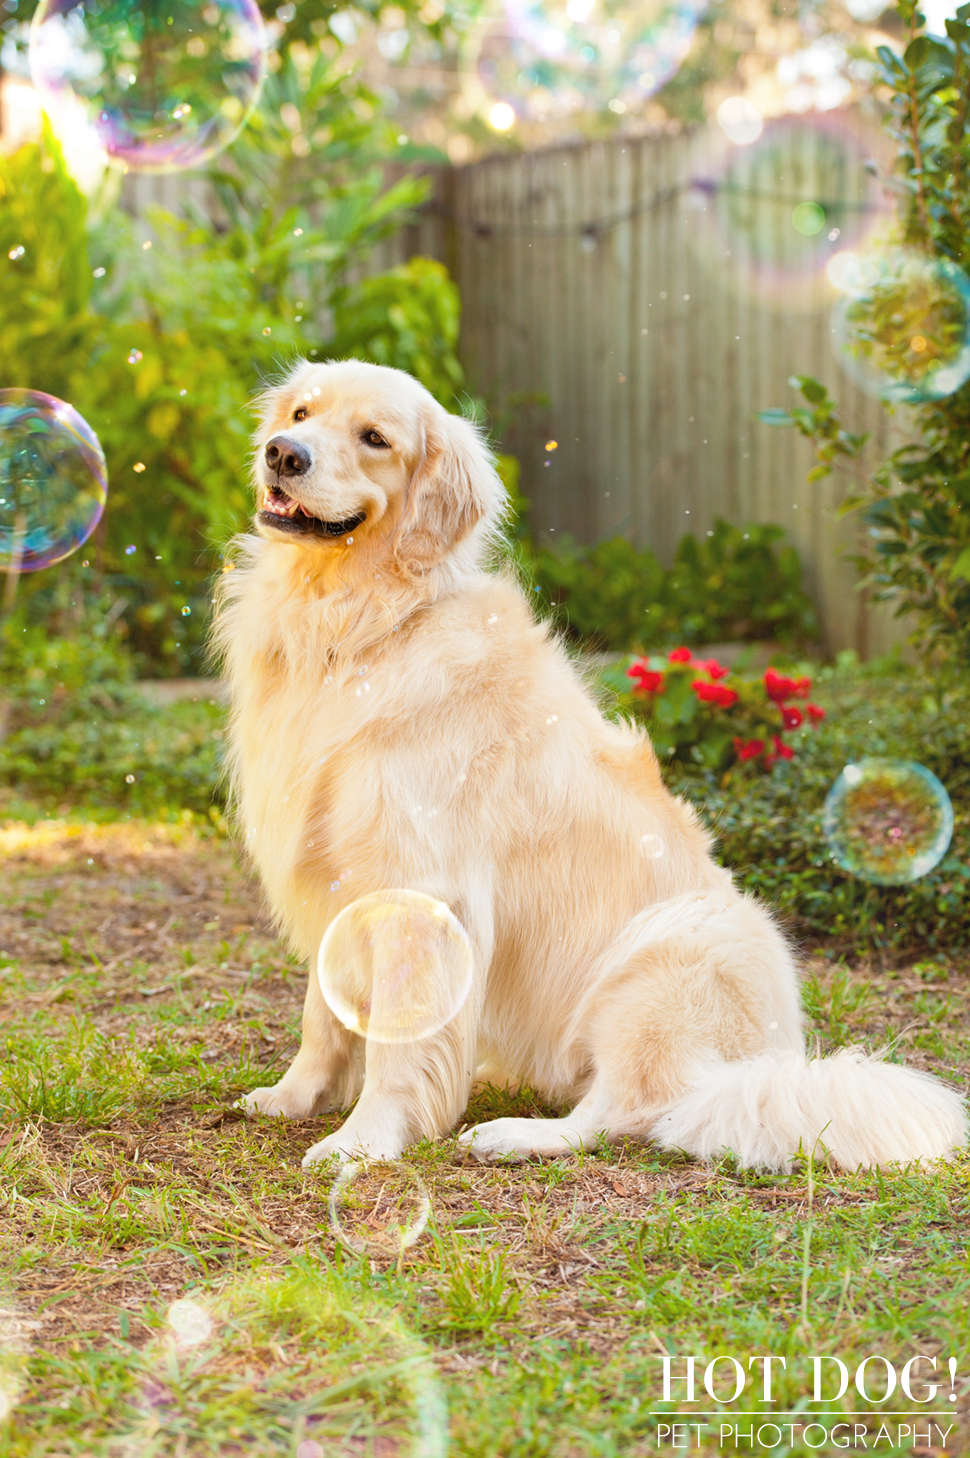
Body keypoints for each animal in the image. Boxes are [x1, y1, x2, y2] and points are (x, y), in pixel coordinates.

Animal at [211, 361, 962, 1172]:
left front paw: (365, 1139)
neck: (361, 624)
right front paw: (295, 1097)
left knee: (626, 1110)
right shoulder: (338, 881)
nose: (283, 454)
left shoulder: (420, 888)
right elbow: (322, 1015)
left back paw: (512, 1134)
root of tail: (771, 1068)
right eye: (301, 413)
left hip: (667, 951)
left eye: (374, 438)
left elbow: (398, 1043)